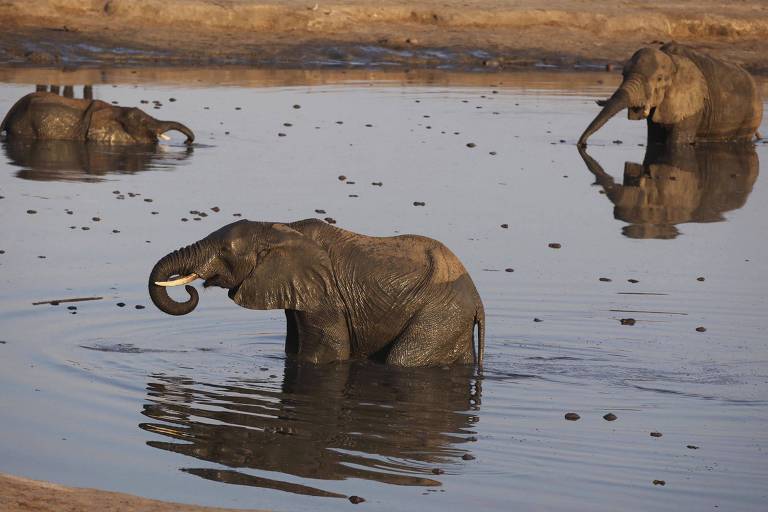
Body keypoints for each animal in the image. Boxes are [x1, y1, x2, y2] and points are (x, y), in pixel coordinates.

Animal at [148, 219, 486, 368]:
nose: (191, 288)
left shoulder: (325, 294)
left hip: (439, 314)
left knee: (402, 361)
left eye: (225, 252)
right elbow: (292, 348)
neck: (279, 228)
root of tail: (478, 302)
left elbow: (326, 353)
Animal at [580, 42, 764, 147]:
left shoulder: (692, 105)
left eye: (659, 79)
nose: (582, 144)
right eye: (623, 74)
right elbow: (654, 137)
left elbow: (675, 143)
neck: (672, 60)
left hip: (750, 118)